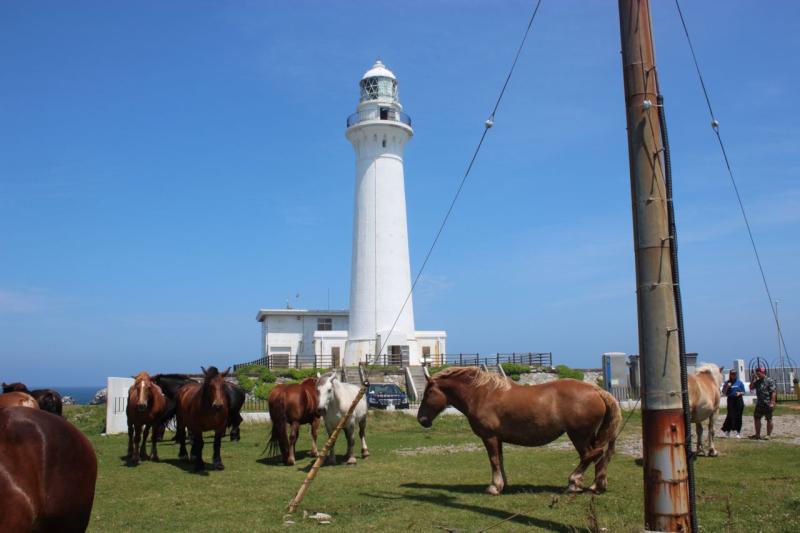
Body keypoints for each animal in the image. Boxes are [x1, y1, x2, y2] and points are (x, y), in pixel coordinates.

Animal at [416, 366, 620, 494]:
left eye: (428, 392)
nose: (421, 419)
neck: (483, 395)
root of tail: (596, 390)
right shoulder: (497, 438)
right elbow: (500, 460)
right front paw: (502, 484)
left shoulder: (489, 437)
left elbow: (494, 460)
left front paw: (494, 487)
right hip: (589, 436)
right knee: (598, 456)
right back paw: (596, 486)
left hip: (579, 435)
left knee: (590, 455)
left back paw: (574, 482)